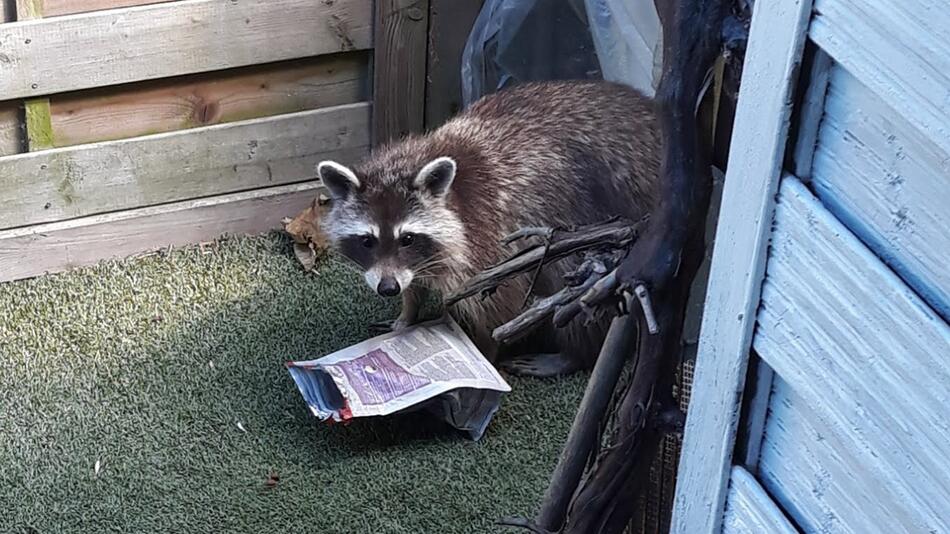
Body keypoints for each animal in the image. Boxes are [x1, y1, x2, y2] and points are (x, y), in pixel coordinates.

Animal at [316, 80, 660, 382]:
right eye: (367, 241)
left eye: (408, 238)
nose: (388, 289)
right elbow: (413, 282)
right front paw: (408, 311)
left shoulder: (488, 236)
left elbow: (501, 305)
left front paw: (485, 355)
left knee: (572, 281)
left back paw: (575, 354)